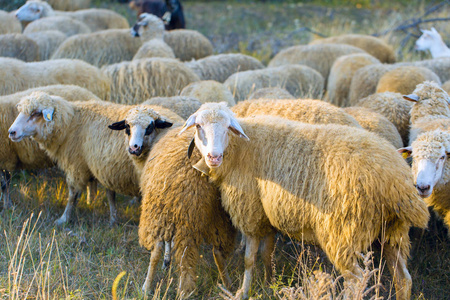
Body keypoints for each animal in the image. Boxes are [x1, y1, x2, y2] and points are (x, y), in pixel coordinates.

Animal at [8, 93, 155, 225]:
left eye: (35, 113)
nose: (11, 132)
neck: (70, 123)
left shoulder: (77, 165)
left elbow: (73, 194)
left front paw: (63, 219)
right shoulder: (103, 165)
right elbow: (108, 193)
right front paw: (108, 215)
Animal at [139, 127, 237, 298]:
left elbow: (165, 245)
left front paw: (166, 261)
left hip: (159, 213)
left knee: (158, 250)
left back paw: (148, 287)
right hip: (217, 215)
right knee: (217, 252)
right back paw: (227, 285)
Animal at [179, 102, 428, 298]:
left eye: (227, 128)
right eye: (199, 127)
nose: (213, 157)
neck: (241, 148)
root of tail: (396, 182)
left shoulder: (250, 213)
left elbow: (249, 259)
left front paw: (242, 292)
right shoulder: (266, 214)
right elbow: (266, 252)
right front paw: (269, 284)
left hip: (343, 232)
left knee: (356, 280)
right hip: (393, 232)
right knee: (403, 279)